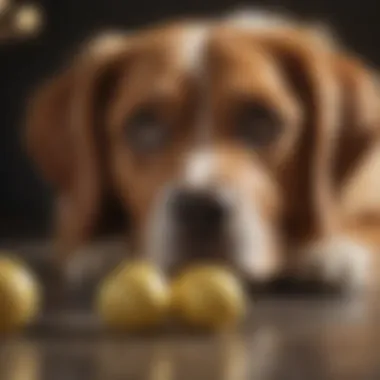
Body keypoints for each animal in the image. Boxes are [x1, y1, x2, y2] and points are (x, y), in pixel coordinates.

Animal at [24, 10, 380, 292]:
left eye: (261, 120)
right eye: (144, 124)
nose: (200, 209)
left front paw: (328, 250)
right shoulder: (70, 214)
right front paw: (105, 250)